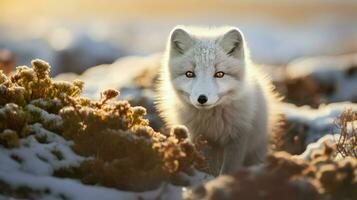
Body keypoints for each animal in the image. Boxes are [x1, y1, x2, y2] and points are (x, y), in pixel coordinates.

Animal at [156, 25, 278, 175]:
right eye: (189, 74)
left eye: (219, 74)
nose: (202, 98)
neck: (213, 122)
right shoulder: (204, 139)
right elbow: (210, 168)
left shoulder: (238, 138)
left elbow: (228, 169)